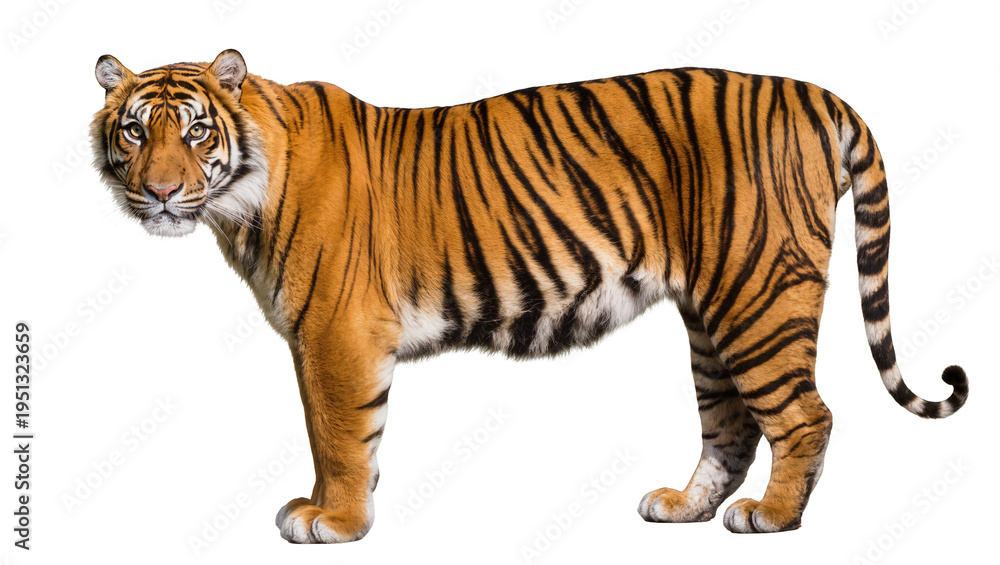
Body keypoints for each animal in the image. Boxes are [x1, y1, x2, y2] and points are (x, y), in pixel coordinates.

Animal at [91, 49, 968, 542]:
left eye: (196, 130)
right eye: (134, 130)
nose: (161, 192)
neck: (240, 201)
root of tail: (817, 93)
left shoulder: (335, 335)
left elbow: (337, 435)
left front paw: (332, 521)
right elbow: (342, 437)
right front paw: (340, 509)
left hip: (758, 292)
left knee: (805, 414)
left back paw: (773, 518)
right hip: (713, 314)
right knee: (731, 424)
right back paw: (683, 506)